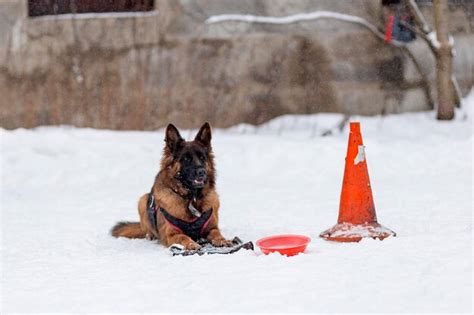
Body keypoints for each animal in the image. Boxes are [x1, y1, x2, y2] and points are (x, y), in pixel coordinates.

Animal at [109, 124, 231, 252]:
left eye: (202, 158)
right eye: (186, 159)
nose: (202, 172)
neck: (191, 199)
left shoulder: (211, 227)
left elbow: (217, 233)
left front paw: (223, 240)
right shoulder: (171, 234)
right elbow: (183, 237)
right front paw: (191, 244)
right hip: (142, 200)